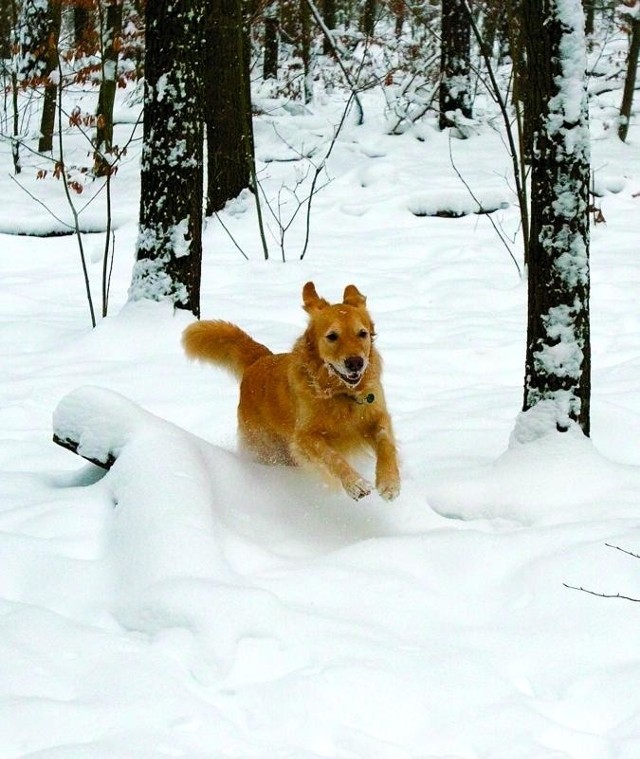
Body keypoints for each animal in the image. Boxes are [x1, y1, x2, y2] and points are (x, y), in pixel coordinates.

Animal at [181, 282, 400, 502]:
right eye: (332, 336)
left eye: (362, 333)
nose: (356, 363)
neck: (340, 393)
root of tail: (259, 359)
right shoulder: (304, 438)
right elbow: (332, 456)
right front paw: (355, 483)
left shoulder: (377, 417)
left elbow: (386, 444)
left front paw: (389, 482)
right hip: (266, 448)